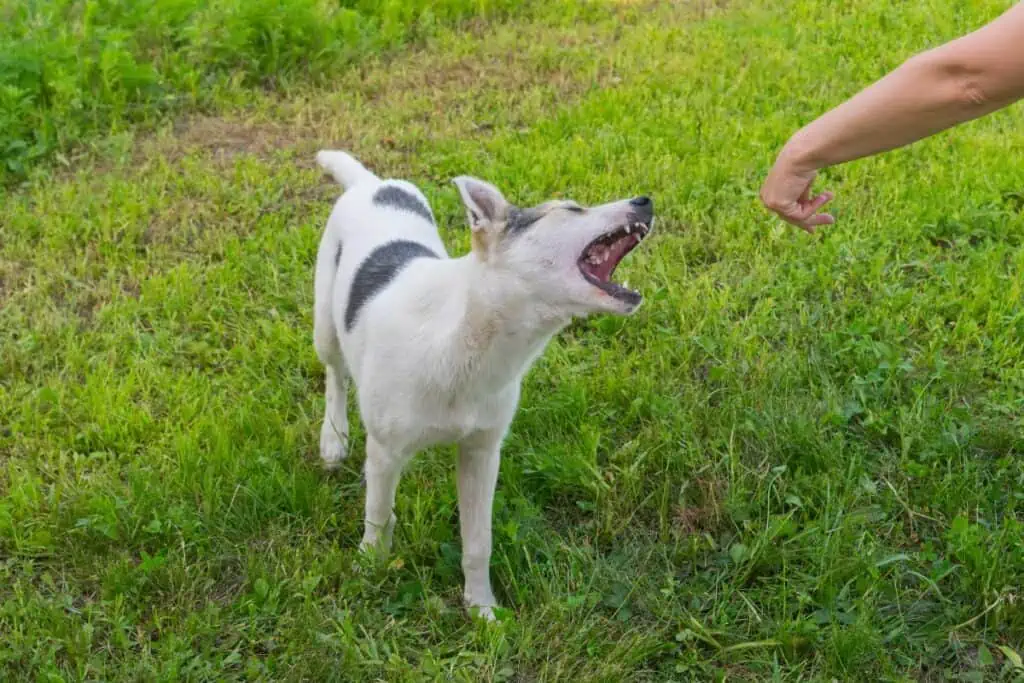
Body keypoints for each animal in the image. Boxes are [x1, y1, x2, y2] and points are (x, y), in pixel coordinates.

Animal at [309, 150, 655, 618]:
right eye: (570, 209)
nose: (645, 201)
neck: (465, 337)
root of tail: (372, 184)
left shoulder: (482, 453)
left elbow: (478, 542)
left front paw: (482, 609)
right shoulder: (383, 453)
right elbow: (378, 516)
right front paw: (370, 569)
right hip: (325, 323)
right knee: (335, 374)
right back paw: (334, 437)